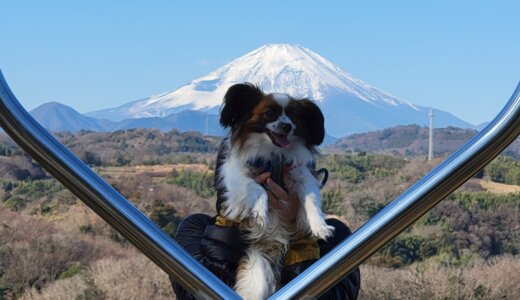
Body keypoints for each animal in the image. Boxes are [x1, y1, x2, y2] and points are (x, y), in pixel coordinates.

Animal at [214, 82, 334, 300]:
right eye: (269, 113)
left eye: (294, 117)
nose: (287, 126)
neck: (274, 155)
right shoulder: (236, 179)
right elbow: (257, 189)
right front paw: (261, 212)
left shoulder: (301, 175)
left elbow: (311, 201)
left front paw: (320, 226)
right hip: (257, 273)